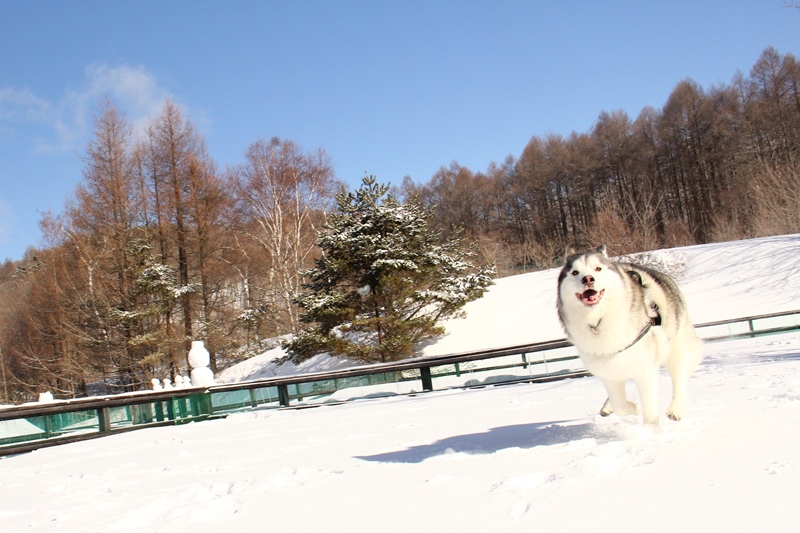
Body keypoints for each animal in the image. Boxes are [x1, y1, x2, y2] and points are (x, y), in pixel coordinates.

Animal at [556, 245, 700, 424]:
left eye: (598, 268)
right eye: (575, 272)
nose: (588, 279)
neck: (599, 319)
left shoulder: (645, 369)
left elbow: (650, 412)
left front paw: (651, 429)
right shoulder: (608, 369)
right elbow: (620, 405)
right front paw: (634, 408)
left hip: (675, 347)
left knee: (680, 378)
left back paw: (675, 409)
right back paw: (607, 406)